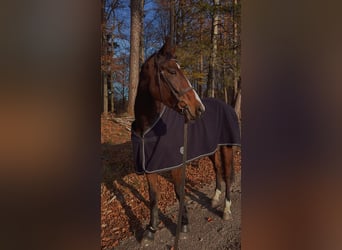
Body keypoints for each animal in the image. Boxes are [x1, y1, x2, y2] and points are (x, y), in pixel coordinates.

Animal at [131, 38, 240, 245]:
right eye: (172, 72)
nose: (199, 108)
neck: (147, 127)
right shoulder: (150, 167)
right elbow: (153, 197)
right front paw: (151, 230)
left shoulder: (176, 165)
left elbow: (179, 192)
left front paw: (183, 226)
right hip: (212, 149)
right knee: (217, 170)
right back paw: (215, 198)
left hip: (227, 147)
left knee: (228, 174)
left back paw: (227, 209)